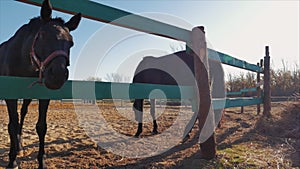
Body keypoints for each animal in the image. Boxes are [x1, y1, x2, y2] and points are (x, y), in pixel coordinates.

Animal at [0, 0, 81, 168]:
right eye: (42, 35)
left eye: (71, 43)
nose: (58, 75)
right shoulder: (10, 95)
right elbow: (11, 126)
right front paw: (12, 161)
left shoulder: (43, 95)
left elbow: (41, 127)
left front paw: (41, 161)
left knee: (22, 114)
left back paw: (19, 146)